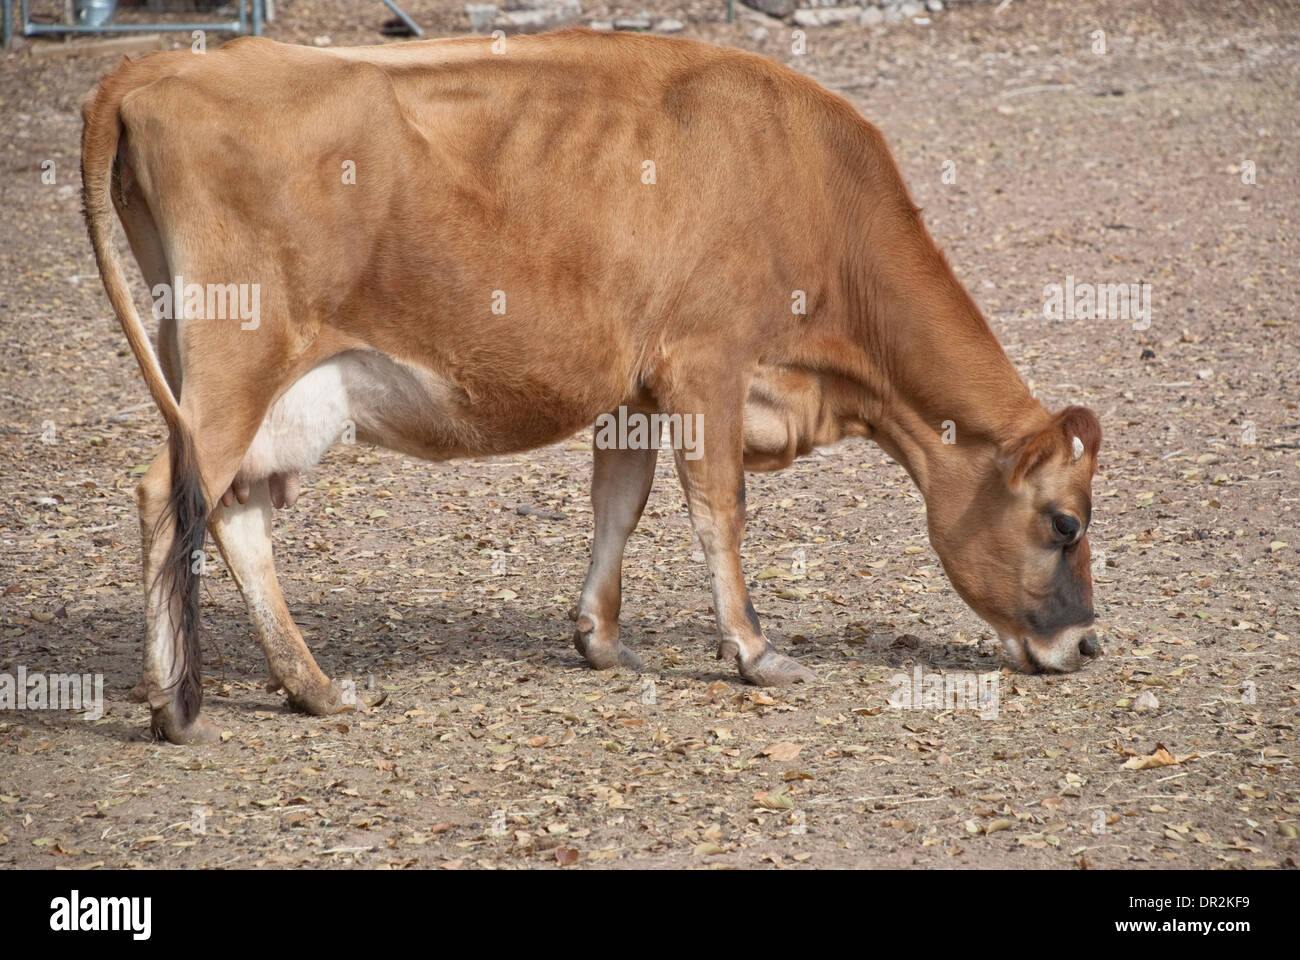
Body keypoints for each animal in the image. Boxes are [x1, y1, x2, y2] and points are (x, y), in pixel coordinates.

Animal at [80, 29, 1102, 744]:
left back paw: (314, 688)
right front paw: (755, 651)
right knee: (168, 495)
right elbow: (718, 510)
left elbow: (622, 504)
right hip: (237, 358)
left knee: (233, 509)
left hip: (249, 378)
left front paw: (600, 639)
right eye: (1064, 523)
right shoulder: (707, 363)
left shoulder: (634, 389)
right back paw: (178, 708)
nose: (1089, 643)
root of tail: (161, 67)